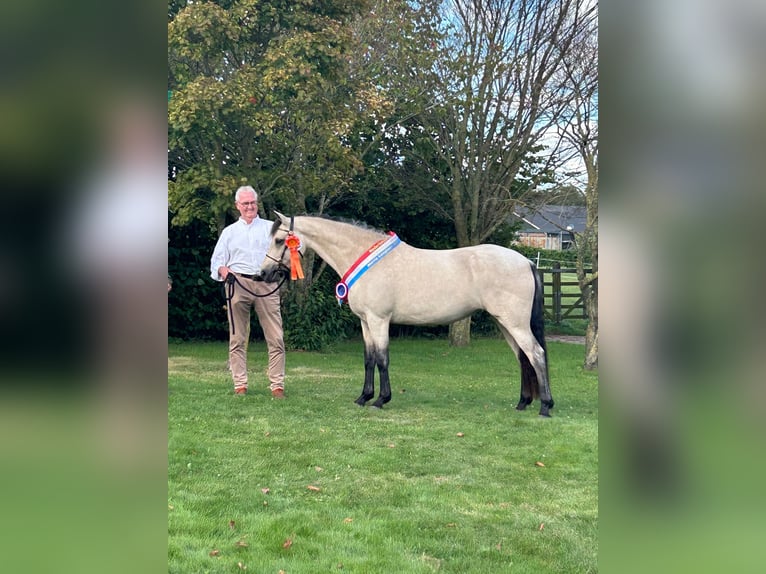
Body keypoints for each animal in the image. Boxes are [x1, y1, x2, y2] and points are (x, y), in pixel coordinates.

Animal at [260, 214, 556, 416]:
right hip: (505, 323)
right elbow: (368, 360)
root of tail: (526, 261)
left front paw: (381, 400)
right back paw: (522, 403)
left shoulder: (379, 320)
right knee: (523, 358)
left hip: (514, 323)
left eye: (279, 240)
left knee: (536, 355)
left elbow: (382, 359)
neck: (365, 258)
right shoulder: (366, 322)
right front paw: (363, 397)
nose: (263, 274)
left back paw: (545, 406)